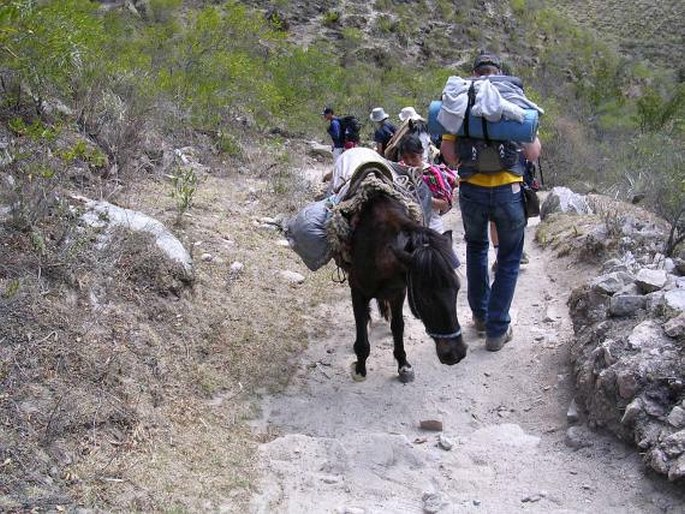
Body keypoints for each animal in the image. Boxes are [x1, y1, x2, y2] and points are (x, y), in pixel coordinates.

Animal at [348, 192, 464, 380]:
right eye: (425, 297)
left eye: (457, 288)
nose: (456, 354)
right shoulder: (357, 291)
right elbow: (361, 330)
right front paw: (360, 368)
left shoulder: (399, 291)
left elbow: (398, 326)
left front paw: (403, 364)